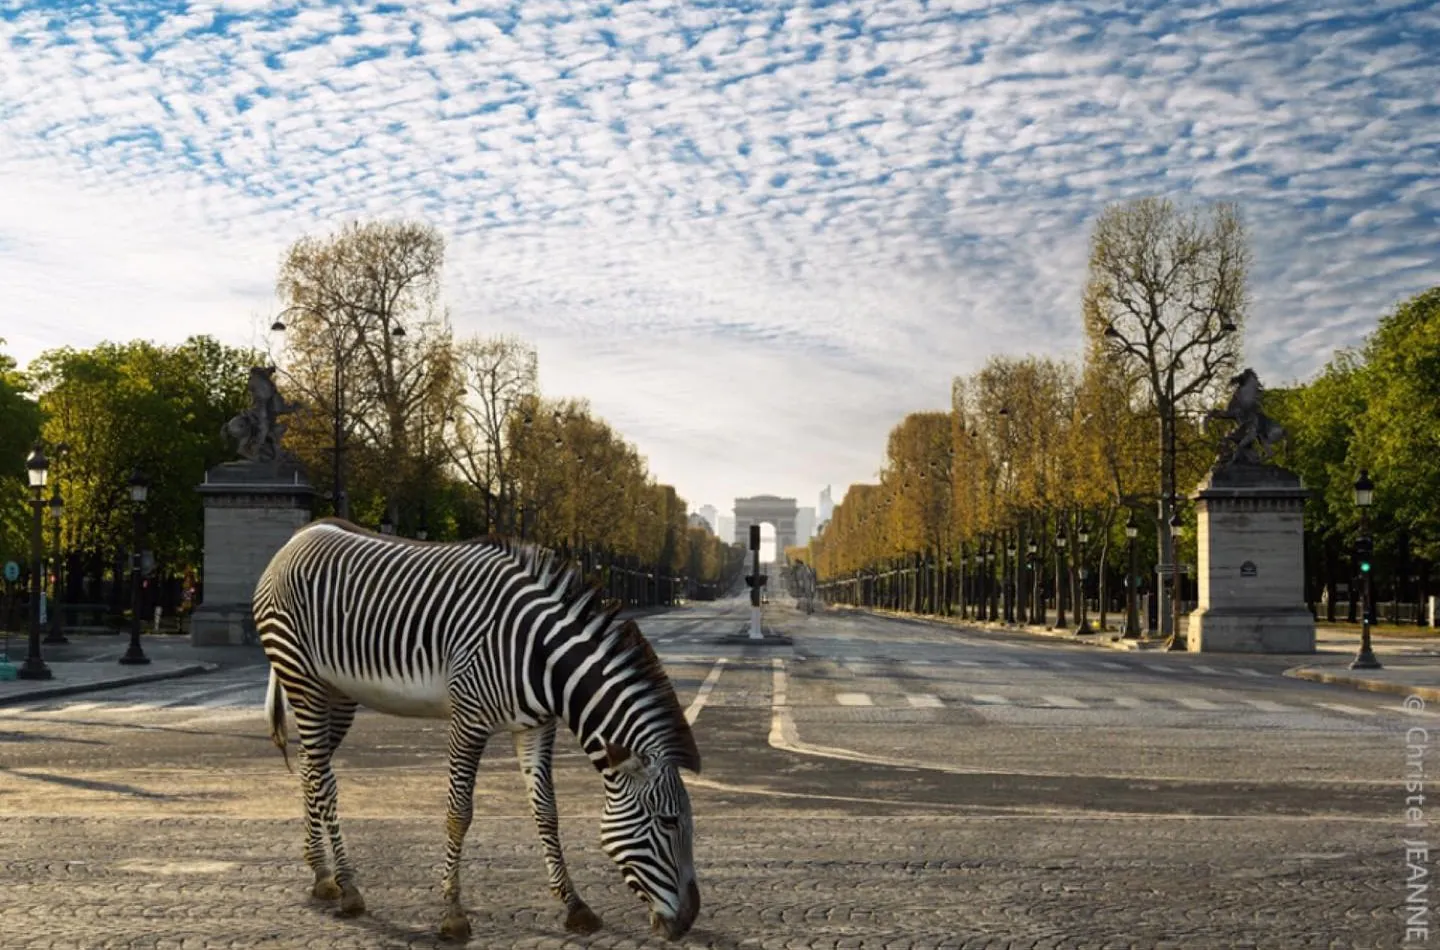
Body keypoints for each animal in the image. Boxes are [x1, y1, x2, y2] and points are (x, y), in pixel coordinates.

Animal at [253, 518, 702, 944]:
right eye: (669, 821)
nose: (688, 922)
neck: (542, 658)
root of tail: (298, 536)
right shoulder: (468, 721)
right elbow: (459, 814)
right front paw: (452, 915)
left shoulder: (536, 727)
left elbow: (547, 812)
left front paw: (575, 905)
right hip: (303, 680)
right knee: (324, 781)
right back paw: (348, 887)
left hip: (338, 693)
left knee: (312, 769)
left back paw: (321, 875)